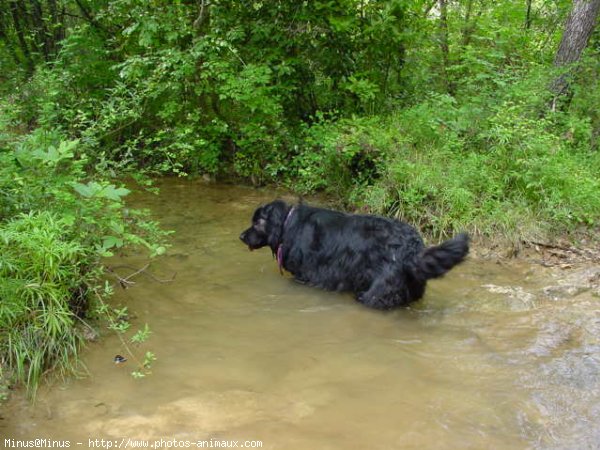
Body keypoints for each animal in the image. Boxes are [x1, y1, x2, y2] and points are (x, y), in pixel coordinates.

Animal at [239, 200, 468, 310]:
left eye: (256, 223)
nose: (241, 236)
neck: (288, 223)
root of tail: (414, 248)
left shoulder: (308, 275)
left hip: (377, 291)